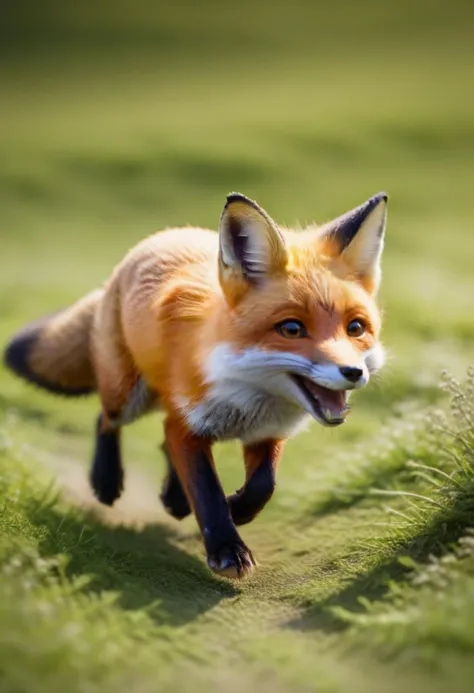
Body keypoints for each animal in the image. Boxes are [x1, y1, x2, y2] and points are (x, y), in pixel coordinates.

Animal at [3, 191, 386, 580]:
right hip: (126, 393)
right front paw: (227, 549)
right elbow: (206, 489)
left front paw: (237, 510)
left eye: (355, 328)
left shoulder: (267, 432)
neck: (246, 396)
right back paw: (106, 480)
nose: (353, 372)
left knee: (161, 441)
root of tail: (161, 236)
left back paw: (173, 497)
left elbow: (263, 486)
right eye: (292, 329)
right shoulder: (188, 422)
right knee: (106, 420)